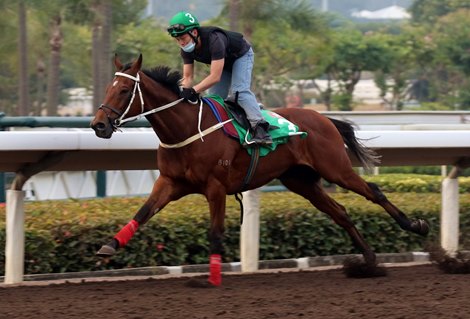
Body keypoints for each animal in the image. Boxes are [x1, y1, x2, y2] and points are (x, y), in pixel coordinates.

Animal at [90, 55, 428, 288]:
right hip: (301, 181)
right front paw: (109, 246)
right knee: (340, 212)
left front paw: (212, 279)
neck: (186, 129)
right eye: (107, 88)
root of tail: (325, 118)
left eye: (123, 90)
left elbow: (215, 232)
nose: (98, 125)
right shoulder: (170, 182)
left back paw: (416, 226)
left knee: (374, 192)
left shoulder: (215, 187)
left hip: (336, 169)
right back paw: (368, 262)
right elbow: (143, 212)